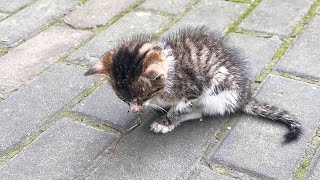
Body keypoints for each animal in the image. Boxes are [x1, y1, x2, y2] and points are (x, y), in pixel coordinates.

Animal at [84, 26, 302, 143]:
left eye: (143, 96)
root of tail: (244, 97)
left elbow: (179, 107)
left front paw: (167, 120)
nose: (136, 110)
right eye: (123, 99)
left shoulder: (192, 90)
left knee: (203, 111)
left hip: (217, 91)